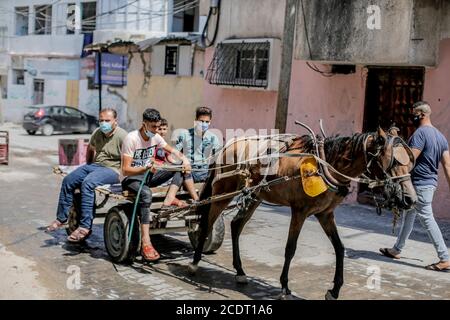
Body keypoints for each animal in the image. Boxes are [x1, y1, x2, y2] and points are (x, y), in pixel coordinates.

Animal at [185, 127, 414, 300]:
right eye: (393, 162)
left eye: (409, 162)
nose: (410, 200)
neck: (326, 164)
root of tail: (227, 146)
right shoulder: (299, 211)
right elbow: (290, 248)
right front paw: (285, 287)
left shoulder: (325, 214)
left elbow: (339, 248)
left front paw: (334, 290)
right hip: (222, 192)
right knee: (206, 223)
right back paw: (194, 263)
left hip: (255, 196)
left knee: (236, 225)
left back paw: (240, 272)